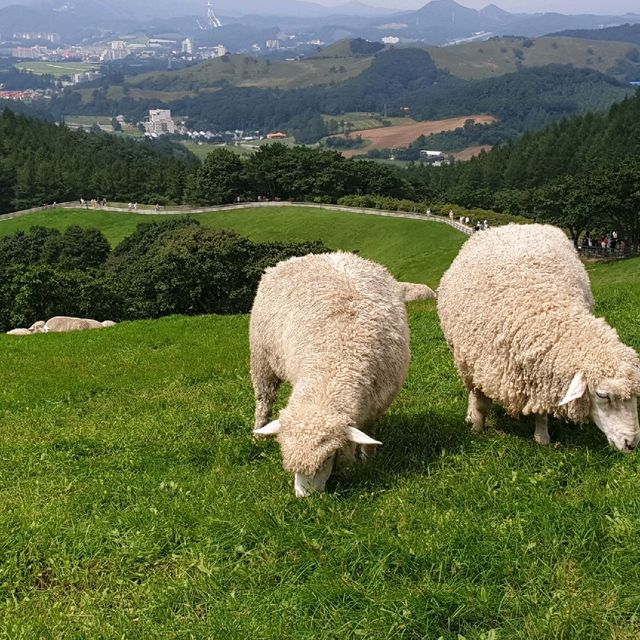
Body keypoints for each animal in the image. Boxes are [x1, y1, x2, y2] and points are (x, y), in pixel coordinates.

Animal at [250, 252, 410, 498]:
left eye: (327, 458)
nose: (305, 498)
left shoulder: (377, 402)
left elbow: (369, 432)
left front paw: (368, 459)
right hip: (262, 360)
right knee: (264, 399)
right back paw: (259, 432)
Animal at [438, 222, 640, 452]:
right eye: (602, 395)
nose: (631, 444)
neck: (543, 309)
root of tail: (514, 225)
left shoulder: (541, 374)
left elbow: (541, 410)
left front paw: (542, 437)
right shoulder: (477, 366)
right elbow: (480, 403)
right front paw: (476, 428)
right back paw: (470, 415)